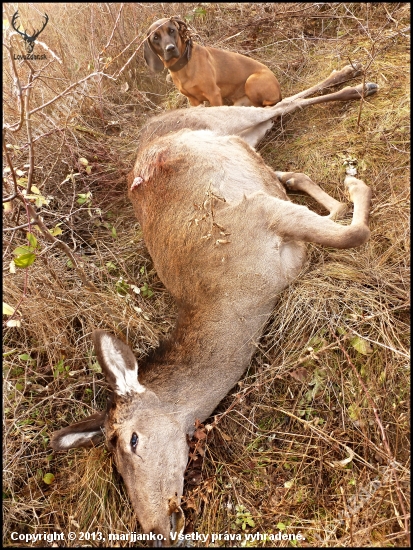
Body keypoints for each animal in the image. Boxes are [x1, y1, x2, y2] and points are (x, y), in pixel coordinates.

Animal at [50, 64, 374, 548]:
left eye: (132, 441)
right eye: (116, 471)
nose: (153, 526)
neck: (242, 296)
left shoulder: (260, 212)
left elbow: (353, 232)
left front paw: (354, 181)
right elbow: (330, 214)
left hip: (223, 116)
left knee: (282, 104)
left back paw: (356, 80)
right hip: (246, 134)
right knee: (281, 131)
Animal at [143, 17, 282, 108]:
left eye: (172, 30)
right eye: (155, 37)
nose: (170, 48)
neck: (184, 64)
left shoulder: (214, 95)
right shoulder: (194, 101)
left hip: (251, 80)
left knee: (270, 104)